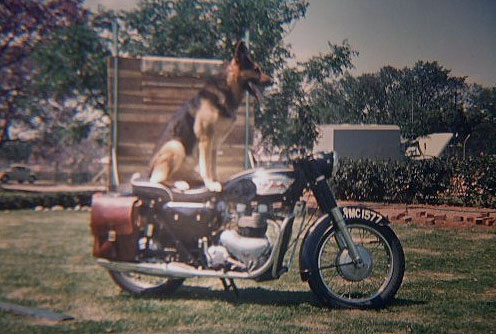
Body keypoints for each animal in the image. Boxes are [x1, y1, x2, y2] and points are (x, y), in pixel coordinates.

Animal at [149, 41, 274, 190]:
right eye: (256, 70)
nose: (272, 81)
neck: (226, 91)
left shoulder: (215, 144)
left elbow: (213, 166)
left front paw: (217, 181)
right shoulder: (206, 140)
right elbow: (206, 167)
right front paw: (210, 184)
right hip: (176, 146)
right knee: (157, 179)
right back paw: (179, 183)